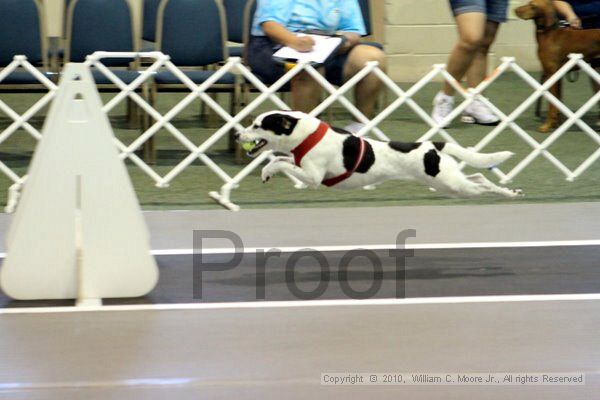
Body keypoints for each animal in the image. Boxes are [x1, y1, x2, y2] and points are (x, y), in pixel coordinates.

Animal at [237, 110, 524, 198]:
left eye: (257, 126)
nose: (238, 135)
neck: (304, 134)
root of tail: (435, 146)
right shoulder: (299, 164)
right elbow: (280, 158)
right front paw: (266, 172)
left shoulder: (313, 177)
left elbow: (281, 163)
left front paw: (268, 171)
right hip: (449, 181)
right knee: (479, 177)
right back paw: (510, 191)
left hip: (451, 183)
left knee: (481, 186)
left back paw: (509, 193)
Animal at [512, 0, 600, 133]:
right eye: (528, 3)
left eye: (533, 6)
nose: (515, 10)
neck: (548, 34)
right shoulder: (557, 75)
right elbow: (557, 102)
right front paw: (556, 123)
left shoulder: (551, 74)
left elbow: (551, 105)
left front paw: (547, 125)